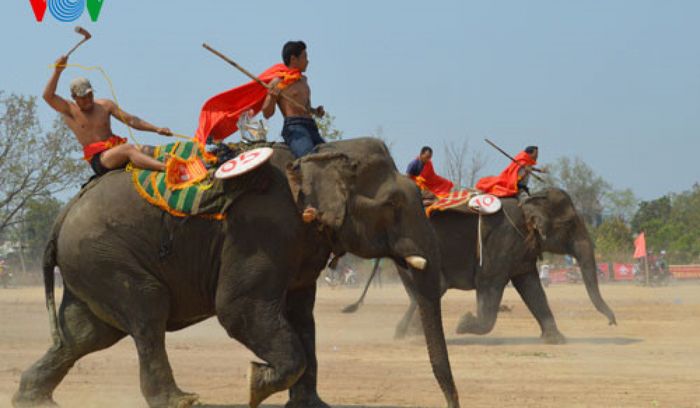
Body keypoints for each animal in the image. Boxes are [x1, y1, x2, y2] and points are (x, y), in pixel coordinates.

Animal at [12, 139, 460, 408]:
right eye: (394, 206)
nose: (454, 403)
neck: (316, 157)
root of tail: (61, 217)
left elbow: (303, 317)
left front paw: (311, 405)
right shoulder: (261, 229)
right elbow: (238, 309)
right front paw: (254, 384)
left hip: (90, 264)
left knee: (84, 333)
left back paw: (34, 399)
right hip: (104, 256)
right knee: (146, 313)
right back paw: (182, 400)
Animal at [348, 188, 612, 344]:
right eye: (570, 224)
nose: (612, 322)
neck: (529, 201)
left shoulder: (520, 251)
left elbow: (532, 288)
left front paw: (556, 340)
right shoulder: (502, 240)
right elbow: (489, 283)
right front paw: (464, 323)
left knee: (420, 295)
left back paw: (405, 335)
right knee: (433, 289)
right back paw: (416, 337)